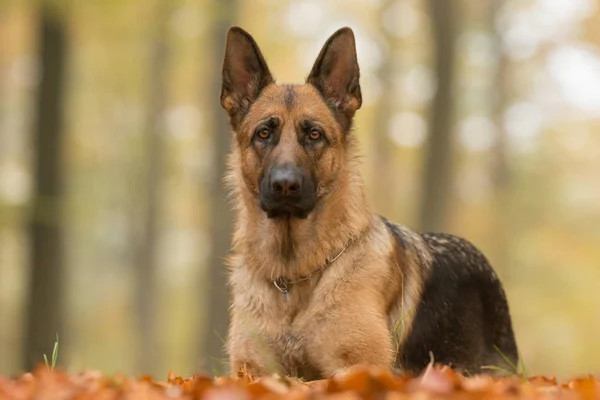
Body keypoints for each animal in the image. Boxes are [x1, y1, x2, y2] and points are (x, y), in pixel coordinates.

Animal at [218, 26, 516, 380]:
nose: (285, 185)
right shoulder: (252, 372)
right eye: (263, 134)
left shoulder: (357, 368)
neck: (293, 275)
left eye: (314, 135)